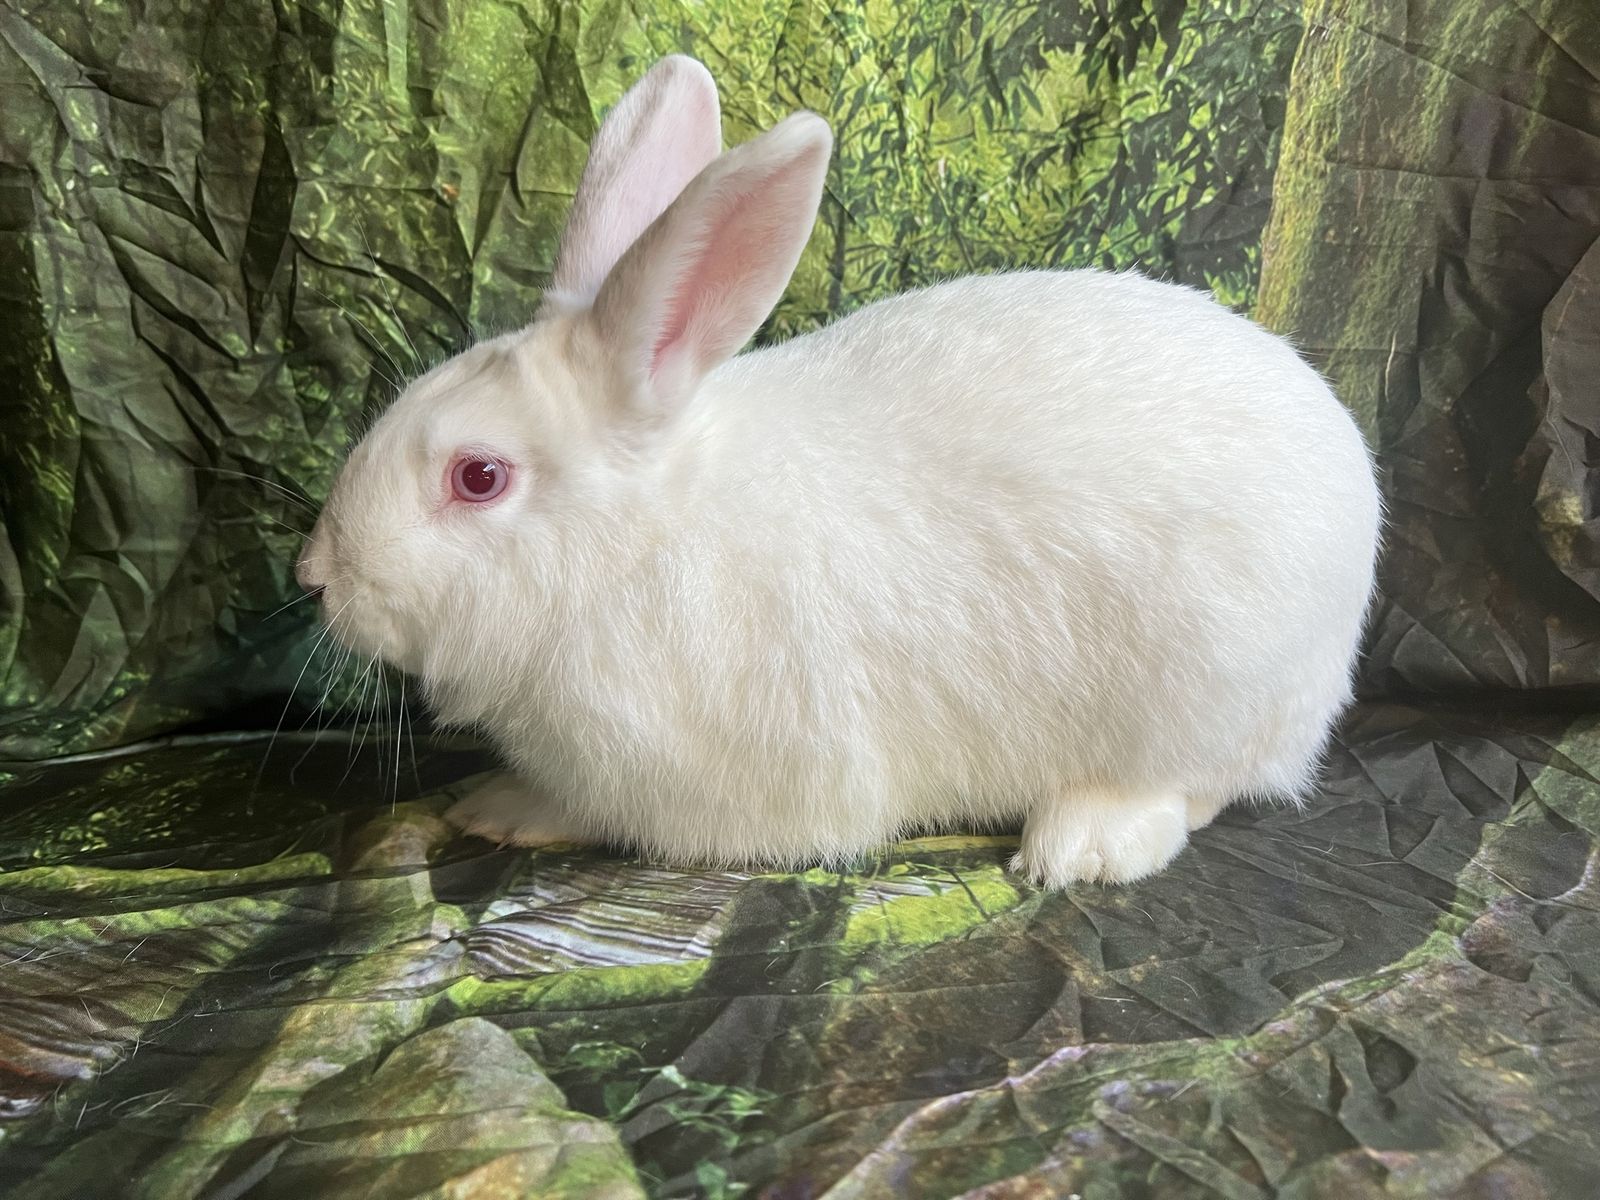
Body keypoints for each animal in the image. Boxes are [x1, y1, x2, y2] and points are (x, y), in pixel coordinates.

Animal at [296, 54, 1381, 887]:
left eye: (478, 478)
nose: (315, 577)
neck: (643, 539)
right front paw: (494, 802)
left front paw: (515, 809)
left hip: (1208, 692)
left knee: (1193, 791)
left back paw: (1080, 845)